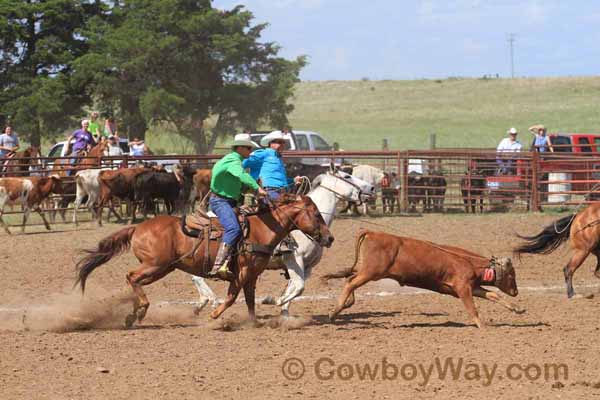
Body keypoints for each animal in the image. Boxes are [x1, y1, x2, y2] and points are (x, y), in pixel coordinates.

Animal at [75, 195, 332, 326]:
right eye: (316, 214)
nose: (330, 238)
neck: (261, 229)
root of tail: (138, 227)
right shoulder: (241, 273)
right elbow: (231, 297)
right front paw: (215, 316)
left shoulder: (251, 276)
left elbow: (250, 300)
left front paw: (254, 322)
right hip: (156, 266)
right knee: (131, 276)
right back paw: (140, 311)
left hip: (162, 268)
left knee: (134, 280)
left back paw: (133, 313)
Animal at [191, 167, 376, 318]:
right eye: (347, 176)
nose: (372, 188)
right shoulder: (293, 259)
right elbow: (299, 286)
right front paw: (273, 300)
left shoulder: (307, 266)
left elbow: (295, 288)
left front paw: (284, 311)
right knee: (198, 276)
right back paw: (210, 300)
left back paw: (201, 304)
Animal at [322, 230, 524, 326]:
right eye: (512, 274)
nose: (516, 292)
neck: (469, 262)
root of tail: (373, 232)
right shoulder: (462, 288)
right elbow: (472, 308)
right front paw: (482, 325)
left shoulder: (472, 287)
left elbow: (493, 295)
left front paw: (517, 308)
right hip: (372, 272)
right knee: (351, 282)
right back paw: (334, 312)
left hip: (368, 270)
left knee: (350, 278)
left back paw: (346, 304)